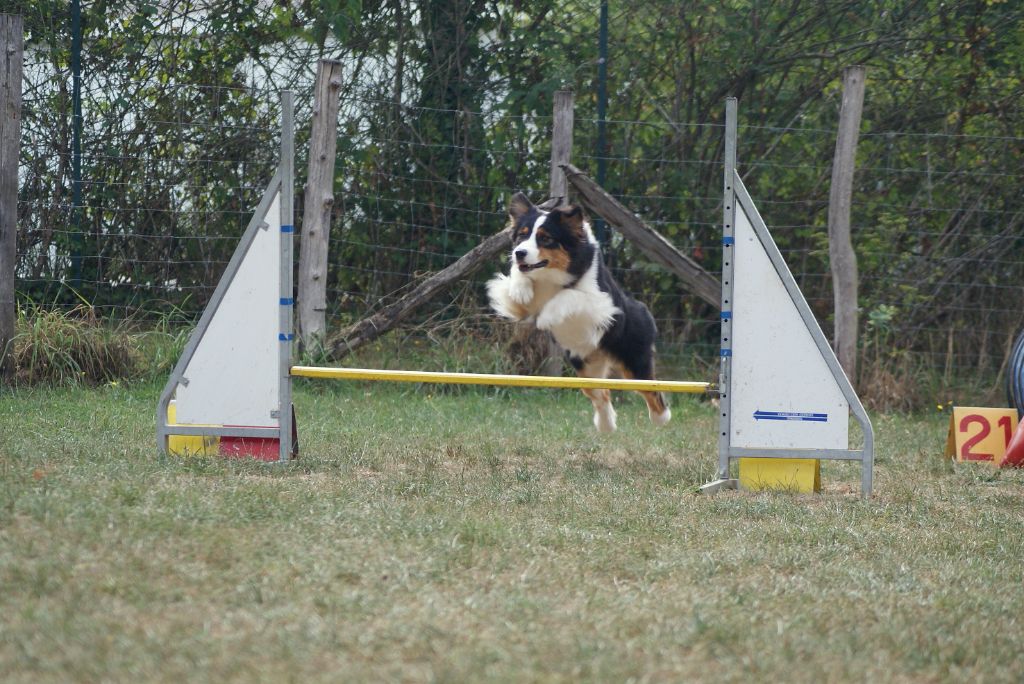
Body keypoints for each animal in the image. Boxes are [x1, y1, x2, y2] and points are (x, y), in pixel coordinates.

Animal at [487, 191, 671, 432]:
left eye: (545, 239)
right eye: (521, 236)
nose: (519, 253)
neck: (551, 275)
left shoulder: (603, 304)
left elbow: (570, 294)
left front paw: (547, 316)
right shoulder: (526, 305)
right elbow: (517, 282)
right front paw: (519, 290)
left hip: (634, 360)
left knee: (651, 390)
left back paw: (661, 418)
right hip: (584, 368)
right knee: (600, 393)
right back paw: (606, 425)